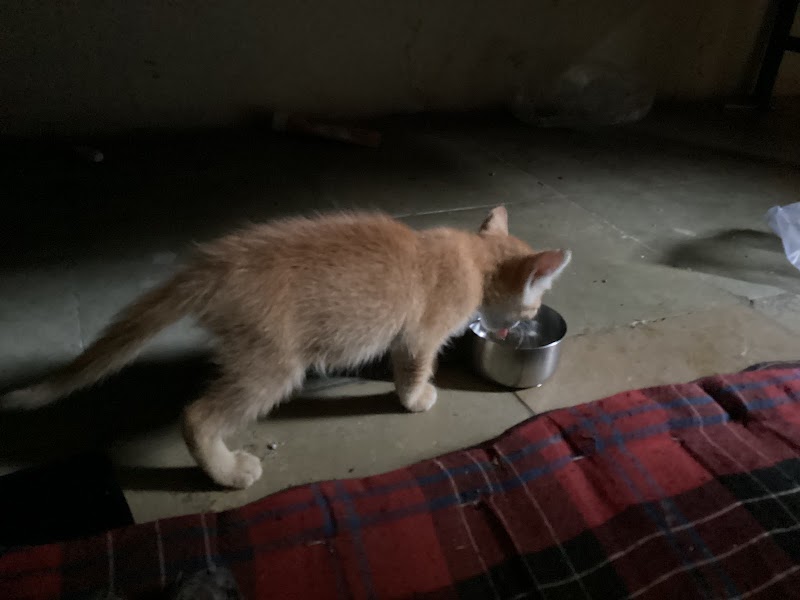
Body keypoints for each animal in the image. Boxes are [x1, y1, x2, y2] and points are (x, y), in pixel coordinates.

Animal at [0, 206, 571, 489]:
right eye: (528, 311)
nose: (516, 330)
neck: (471, 257)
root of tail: (215, 263)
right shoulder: (420, 335)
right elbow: (414, 367)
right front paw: (416, 398)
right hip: (273, 365)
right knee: (196, 416)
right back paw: (227, 472)